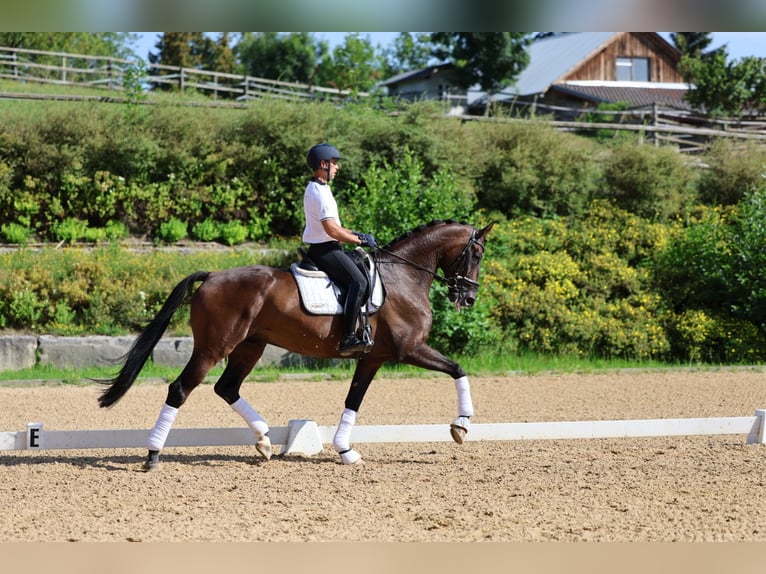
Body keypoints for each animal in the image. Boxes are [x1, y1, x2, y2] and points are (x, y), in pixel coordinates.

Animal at [99, 218, 496, 470]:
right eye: (476, 254)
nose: (468, 298)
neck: (404, 277)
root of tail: (211, 275)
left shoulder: (373, 357)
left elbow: (353, 401)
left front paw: (346, 451)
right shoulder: (407, 349)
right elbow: (458, 369)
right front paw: (461, 426)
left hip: (250, 346)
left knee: (227, 387)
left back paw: (263, 440)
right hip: (214, 347)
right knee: (180, 389)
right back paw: (153, 455)